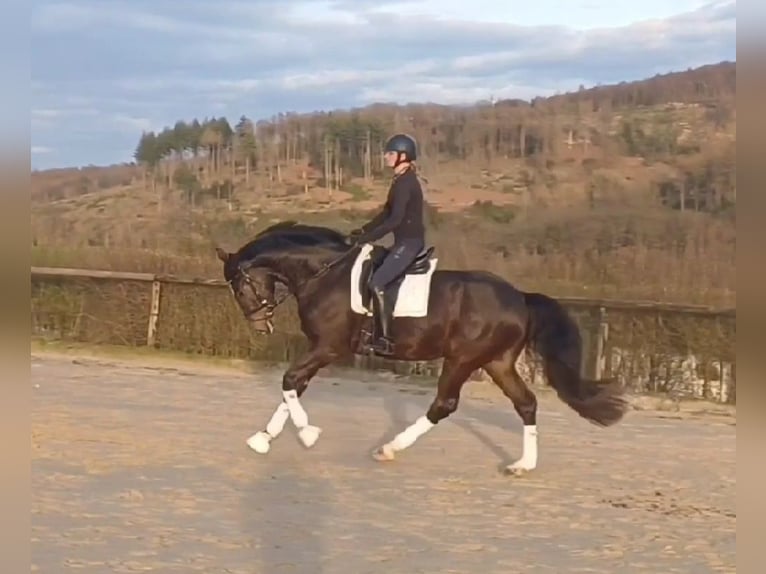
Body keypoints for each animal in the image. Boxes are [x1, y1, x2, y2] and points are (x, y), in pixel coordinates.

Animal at [216, 220, 632, 476]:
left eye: (240, 286)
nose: (260, 324)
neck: (324, 273)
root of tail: (520, 298)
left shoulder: (329, 348)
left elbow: (290, 381)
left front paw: (306, 434)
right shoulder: (320, 349)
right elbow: (293, 387)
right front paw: (263, 439)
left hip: (462, 358)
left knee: (444, 404)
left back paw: (389, 448)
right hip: (496, 362)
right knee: (526, 403)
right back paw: (521, 465)